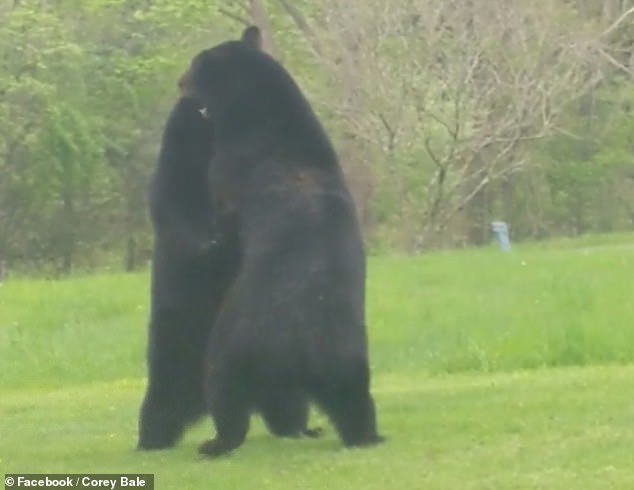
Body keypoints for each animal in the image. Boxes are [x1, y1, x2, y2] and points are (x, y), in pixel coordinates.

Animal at [137, 96, 238, 452]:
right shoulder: (182, 158)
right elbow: (175, 201)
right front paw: (210, 242)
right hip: (176, 329)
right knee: (164, 388)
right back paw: (152, 436)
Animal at [180, 25, 382, 456]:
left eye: (193, 67)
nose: (179, 82)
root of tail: (299, 349)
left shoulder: (233, 166)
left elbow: (223, 208)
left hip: (231, 345)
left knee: (224, 392)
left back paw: (215, 443)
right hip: (347, 359)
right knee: (353, 400)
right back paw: (365, 435)